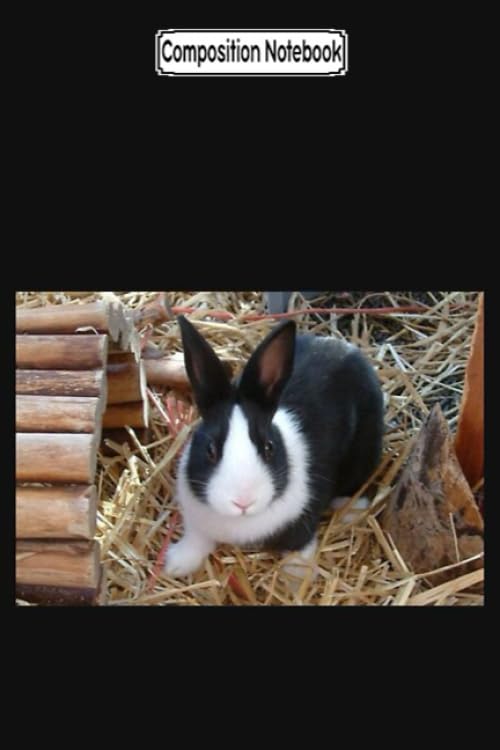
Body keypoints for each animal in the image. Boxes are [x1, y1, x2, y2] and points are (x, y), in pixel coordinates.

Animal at [164, 315, 384, 582]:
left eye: (269, 447)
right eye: (210, 450)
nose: (243, 502)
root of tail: (350, 350)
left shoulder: (303, 522)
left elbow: (299, 549)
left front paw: (296, 579)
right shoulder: (196, 522)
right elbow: (196, 541)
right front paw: (176, 566)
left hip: (365, 452)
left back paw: (351, 511)